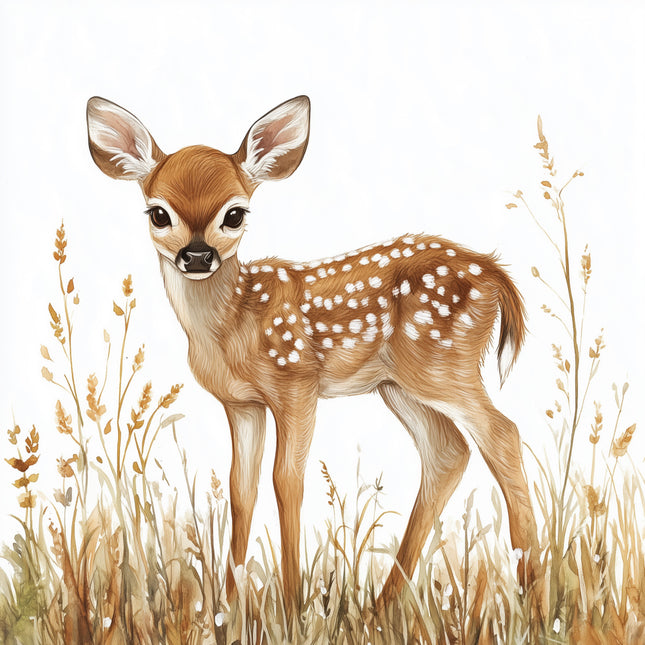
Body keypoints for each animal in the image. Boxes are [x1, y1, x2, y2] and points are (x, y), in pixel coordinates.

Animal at [86, 95, 542, 616]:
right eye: (158, 213)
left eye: (235, 214)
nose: (197, 256)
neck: (234, 324)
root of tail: (494, 271)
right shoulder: (241, 403)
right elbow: (241, 489)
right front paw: (227, 608)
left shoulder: (296, 383)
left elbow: (287, 480)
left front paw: (290, 606)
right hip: (398, 384)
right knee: (448, 450)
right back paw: (383, 605)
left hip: (444, 363)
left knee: (502, 433)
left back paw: (532, 591)